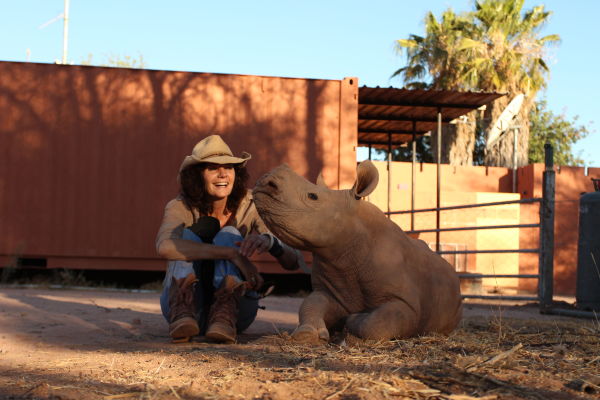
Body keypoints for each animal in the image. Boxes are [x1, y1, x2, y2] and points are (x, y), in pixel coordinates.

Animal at [251, 159, 462, 340]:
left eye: (312, 196)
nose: (265, 182)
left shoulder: (406, 302)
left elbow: (378, 323)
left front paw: (351, 321)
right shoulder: (334, 285)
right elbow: (311, 303)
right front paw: (308, 335)